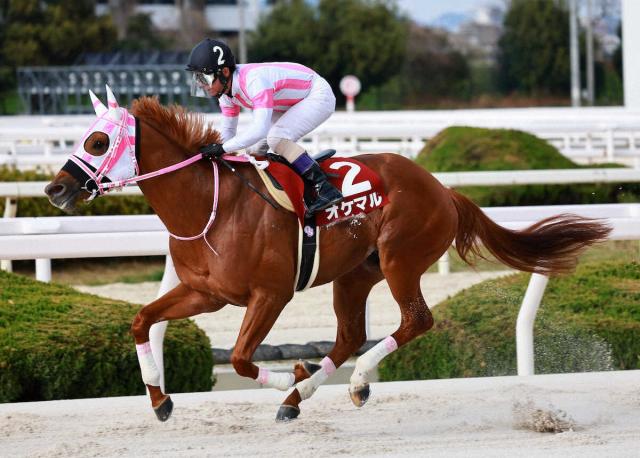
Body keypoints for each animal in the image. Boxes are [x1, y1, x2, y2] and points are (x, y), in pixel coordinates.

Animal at [44, 87, 611, 422]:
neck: (209, 206)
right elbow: (143, 320)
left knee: (415, 321)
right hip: (355, 274)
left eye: (97, 141)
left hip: (401, 258)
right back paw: (304, 393)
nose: (54, 190)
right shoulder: (205, 292)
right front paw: (161, 400)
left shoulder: (269, 294)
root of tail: (442, 189)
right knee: (350, 336)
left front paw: (285, 376)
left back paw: (345, 383)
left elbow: (243, 358)